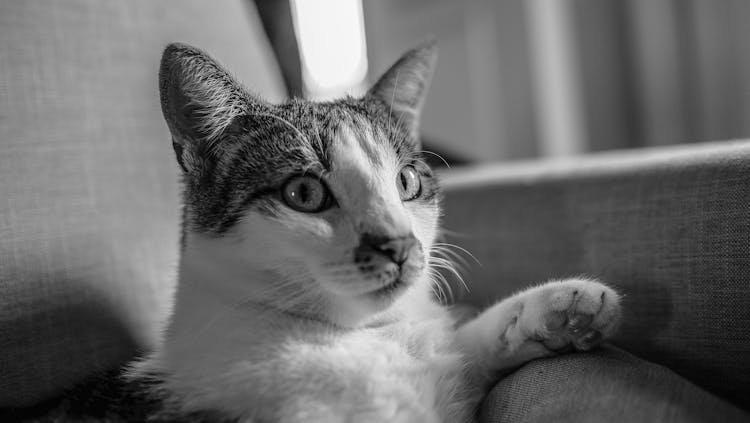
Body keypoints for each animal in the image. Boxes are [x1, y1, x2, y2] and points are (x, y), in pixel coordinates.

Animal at [22, 40, 624, 423]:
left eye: (407, 181)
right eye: (304, 194)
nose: (398, 244)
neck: (359, 336)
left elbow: (460, 346)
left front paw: (562, 307)